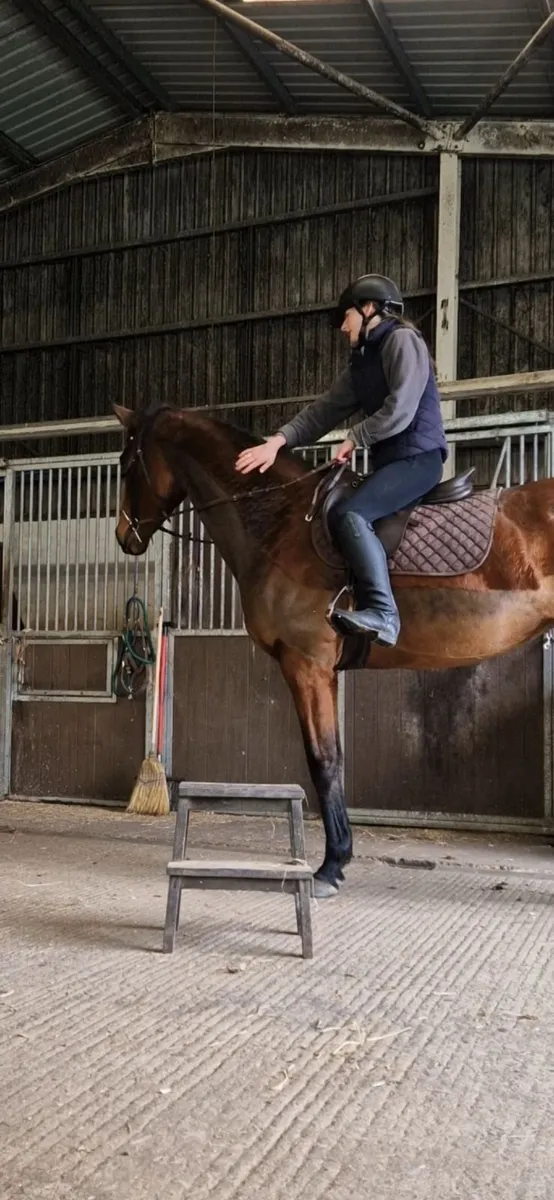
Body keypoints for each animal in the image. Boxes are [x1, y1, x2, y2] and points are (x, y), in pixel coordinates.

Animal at [114, 401, 554, 897]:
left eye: (126, 466)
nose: (124, 536)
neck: (282, 522)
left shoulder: (307, 665)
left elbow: (324, 762)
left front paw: (330, 867)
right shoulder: (323, 670)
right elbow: (335, 759)